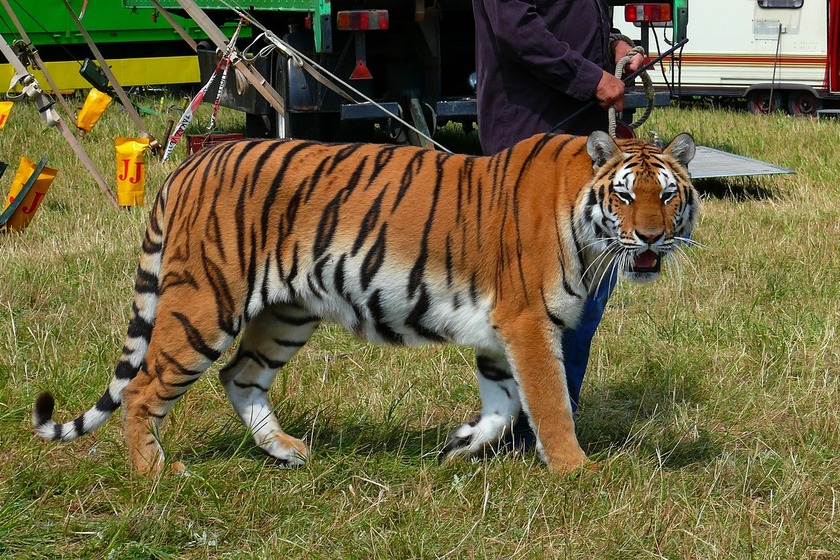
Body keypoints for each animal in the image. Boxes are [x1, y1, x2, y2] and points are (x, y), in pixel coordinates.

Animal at [31, 130, 696, 472]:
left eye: (667, 195)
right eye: (625, 196)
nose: (651, 237)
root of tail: (190, 164)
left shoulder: (499, 331)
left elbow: (504, 404)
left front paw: (459, 445)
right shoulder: (528, 322)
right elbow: (550, 403)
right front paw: (576, 472)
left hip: (286, 313)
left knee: (240, 375)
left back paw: (287, 451)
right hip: (205, 303)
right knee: (144, 387)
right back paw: (156, 477)